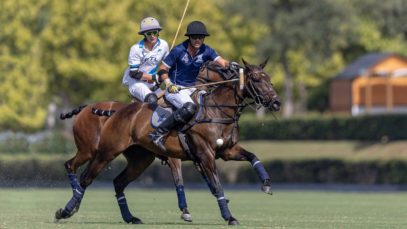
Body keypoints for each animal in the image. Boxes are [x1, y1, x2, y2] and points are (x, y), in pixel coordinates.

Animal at [56, 101, 194, 222]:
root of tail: (87, 106)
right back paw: (71, 208)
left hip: (113, 156)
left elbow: (179, 180)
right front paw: (185, 211)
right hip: (91, 151)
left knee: (91, 176)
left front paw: (185, 211)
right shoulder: (174, 157)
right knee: (72, 166)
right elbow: (178, 180)